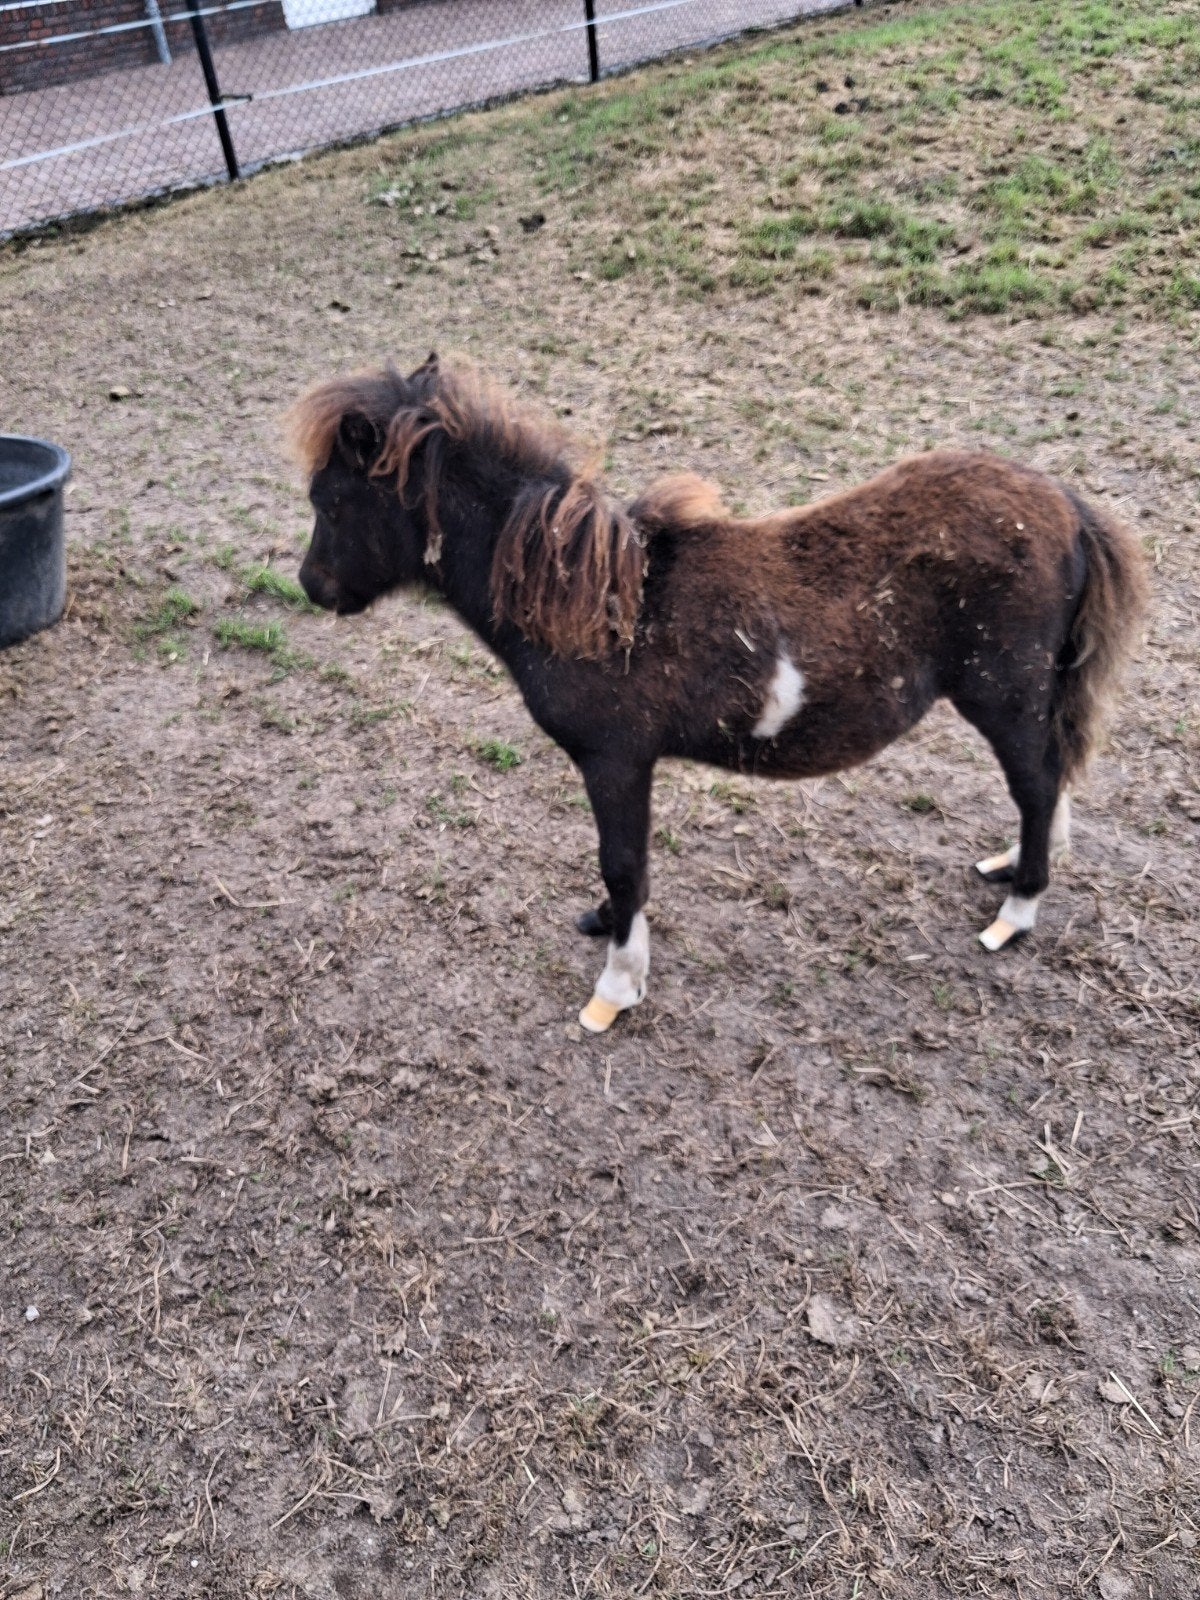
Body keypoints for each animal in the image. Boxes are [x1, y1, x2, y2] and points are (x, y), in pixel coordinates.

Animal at [287, 354, 1147, 1034]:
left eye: (331, 501)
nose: (313, 587)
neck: (593, 601)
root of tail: (1067, 507)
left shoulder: (616, 760)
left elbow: (624, 864)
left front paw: (615, 989)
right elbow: (622, 870)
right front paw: (604, 926)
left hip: (1002, 694)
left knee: (1036, 781)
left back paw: (1017, 913)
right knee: (1048, 778)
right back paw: (1012, 865)